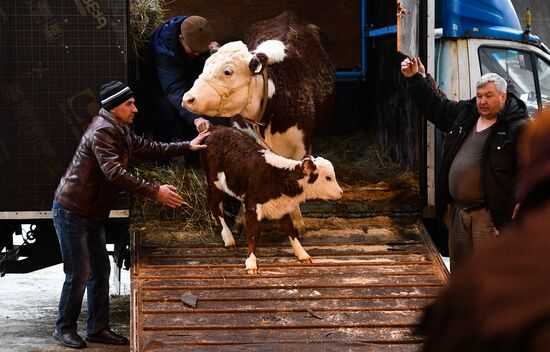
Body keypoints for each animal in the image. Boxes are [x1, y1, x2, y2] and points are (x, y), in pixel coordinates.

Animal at [201, 126, 342, 276]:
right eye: (328, 177)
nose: (341, 192)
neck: (277, 177)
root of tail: (215, 128)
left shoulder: (280, 206)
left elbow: (290, 230)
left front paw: (302, 254)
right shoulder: (252, 206)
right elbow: (252, 234)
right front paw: (251, 263)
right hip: (214, 182)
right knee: (214, 205)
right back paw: (228, 238)